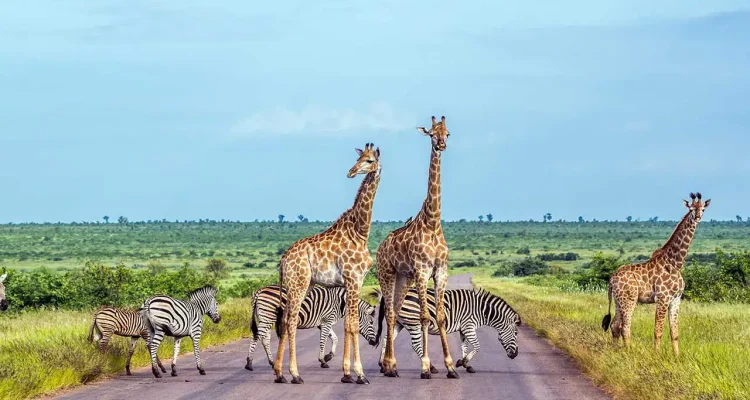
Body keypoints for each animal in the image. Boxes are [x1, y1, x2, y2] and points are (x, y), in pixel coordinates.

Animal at [245, 284, 379, 371]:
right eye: (371, 322)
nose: (375, 343)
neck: (340, 303)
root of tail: (259, 291)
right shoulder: (327, 320)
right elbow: (323, 340)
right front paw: (323, 360)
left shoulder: (323, 322)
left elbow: (335, 338)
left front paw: (328, 356)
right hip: (268, 316)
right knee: (256, 337)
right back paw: (249, 363)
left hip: (266, 318)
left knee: (265, 339)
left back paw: (272, 362)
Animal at [376, 287, 521, 374]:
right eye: (516, 333)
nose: (515, 355)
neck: (481, 311)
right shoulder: (469, 326)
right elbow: (477, 346)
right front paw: (463, 362)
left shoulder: (463, 328)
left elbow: (464, 346)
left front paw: (465, 364)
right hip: (413, 322)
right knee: (416, 345)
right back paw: (431, 367)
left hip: (399, 323)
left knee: (386, 339)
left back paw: (382, 365)